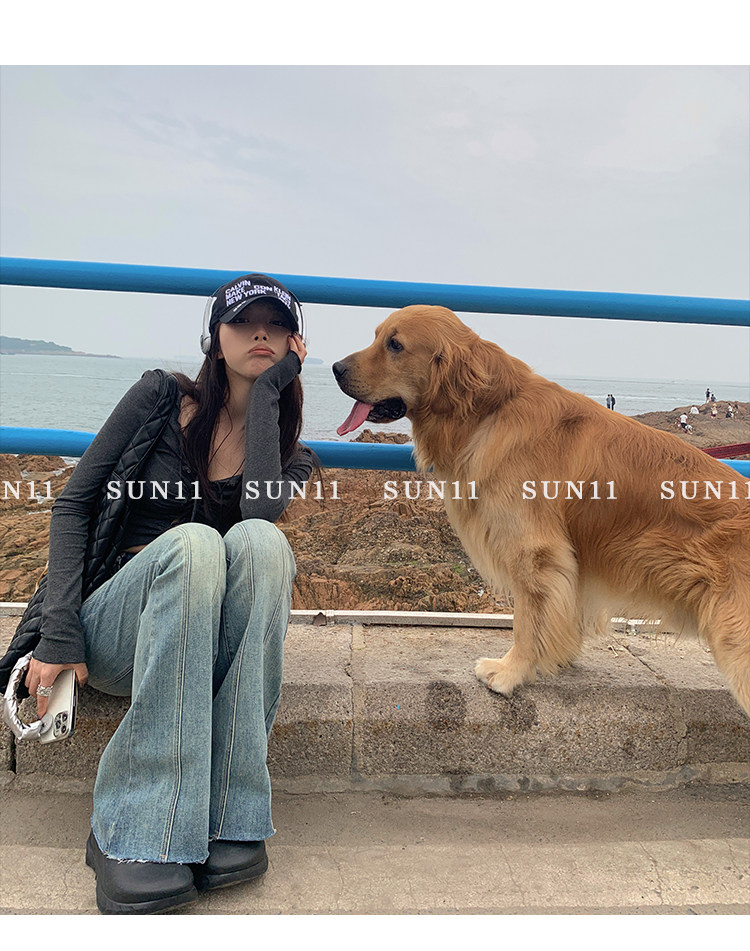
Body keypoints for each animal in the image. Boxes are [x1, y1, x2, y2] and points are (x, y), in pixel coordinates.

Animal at [333, 305, 750, 715]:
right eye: (377, 336)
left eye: (395, 345)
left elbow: (527, 622)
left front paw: (511, 671)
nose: (336, 367)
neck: (492, 411)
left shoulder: (533, 552)